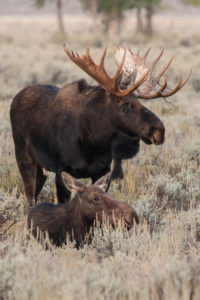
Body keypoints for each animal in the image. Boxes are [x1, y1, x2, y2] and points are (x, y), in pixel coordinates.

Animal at [9, 44, 191, 213]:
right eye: (125, 103)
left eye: (140, 101)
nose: (159, 130)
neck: (92, 142)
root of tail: (15, 98)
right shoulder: (61, 171)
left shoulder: (102, 171)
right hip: (23, 156)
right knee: (29, 199)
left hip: (41, 168)